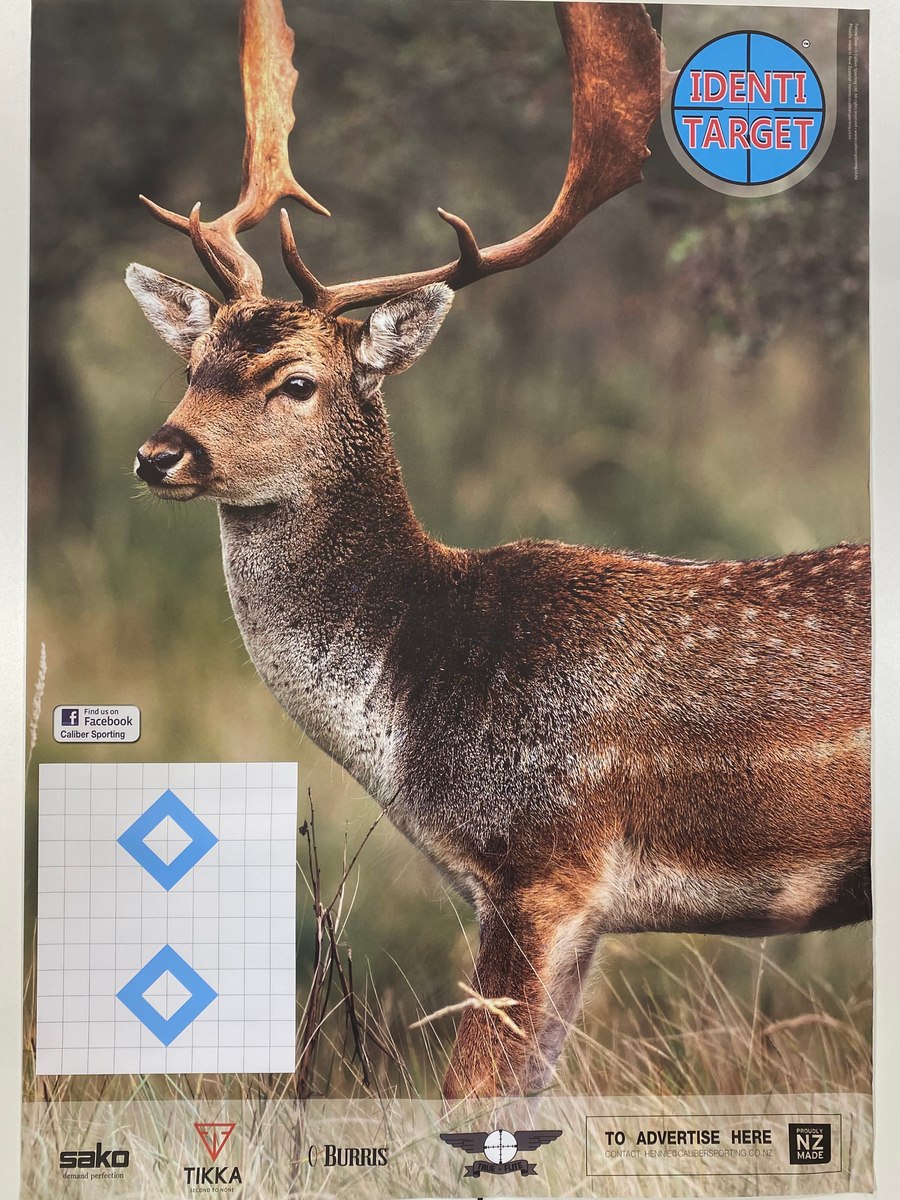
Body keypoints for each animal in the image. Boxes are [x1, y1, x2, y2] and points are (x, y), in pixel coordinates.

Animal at [126, 0, 870, 1099]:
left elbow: (471, 1096)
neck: (414, 696)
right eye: (194, 361)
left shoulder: (543, 865)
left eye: (297, 380)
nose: (159, 452)